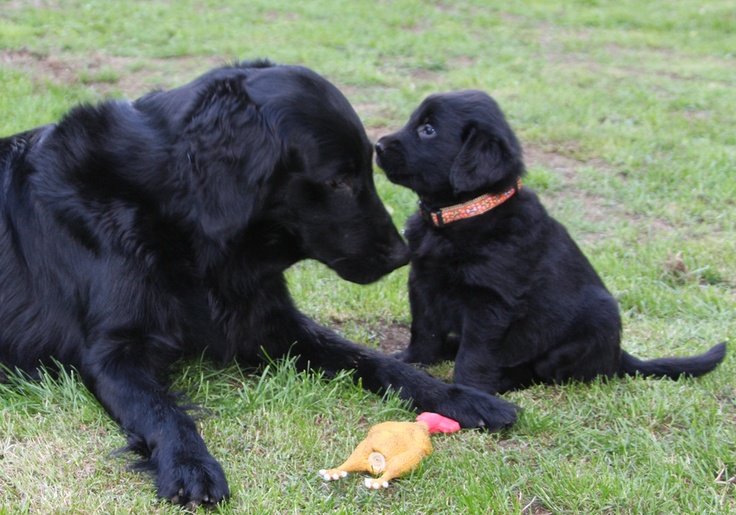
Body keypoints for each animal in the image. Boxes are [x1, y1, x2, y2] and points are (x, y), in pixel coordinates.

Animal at [0, 64, 516, 508]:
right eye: (339, 180)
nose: (401, 255)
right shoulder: (111, 354)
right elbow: (162, 410)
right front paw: (189, 464)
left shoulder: (268, 322)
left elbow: (374, 360)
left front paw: (460, 398)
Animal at [376, 89, 728, 396]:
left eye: (428, 130)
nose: (377, 145)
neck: (459, 216)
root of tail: (617, 354)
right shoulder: (422, 281)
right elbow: (424, 328)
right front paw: (412, 361)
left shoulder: (490, 302)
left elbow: (475, 353)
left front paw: (470, 388)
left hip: (591, 324)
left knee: (545, 372)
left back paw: (505, 379)